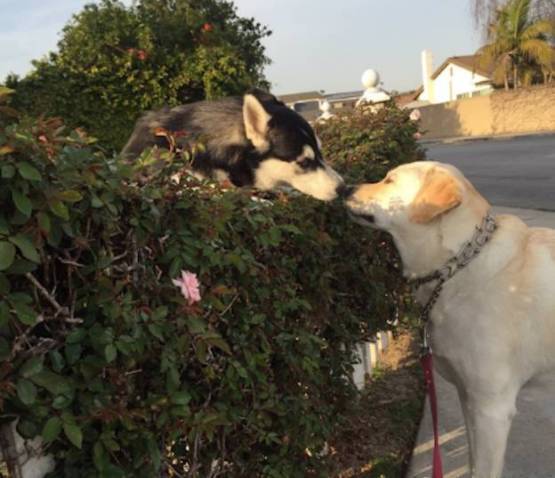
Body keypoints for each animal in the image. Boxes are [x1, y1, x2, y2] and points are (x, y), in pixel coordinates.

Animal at [346, 162, 555, 478]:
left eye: (389, 180)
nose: (344, 188)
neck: (459, 265)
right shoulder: (467, 397)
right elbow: (471, 460)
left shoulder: (492, 408)